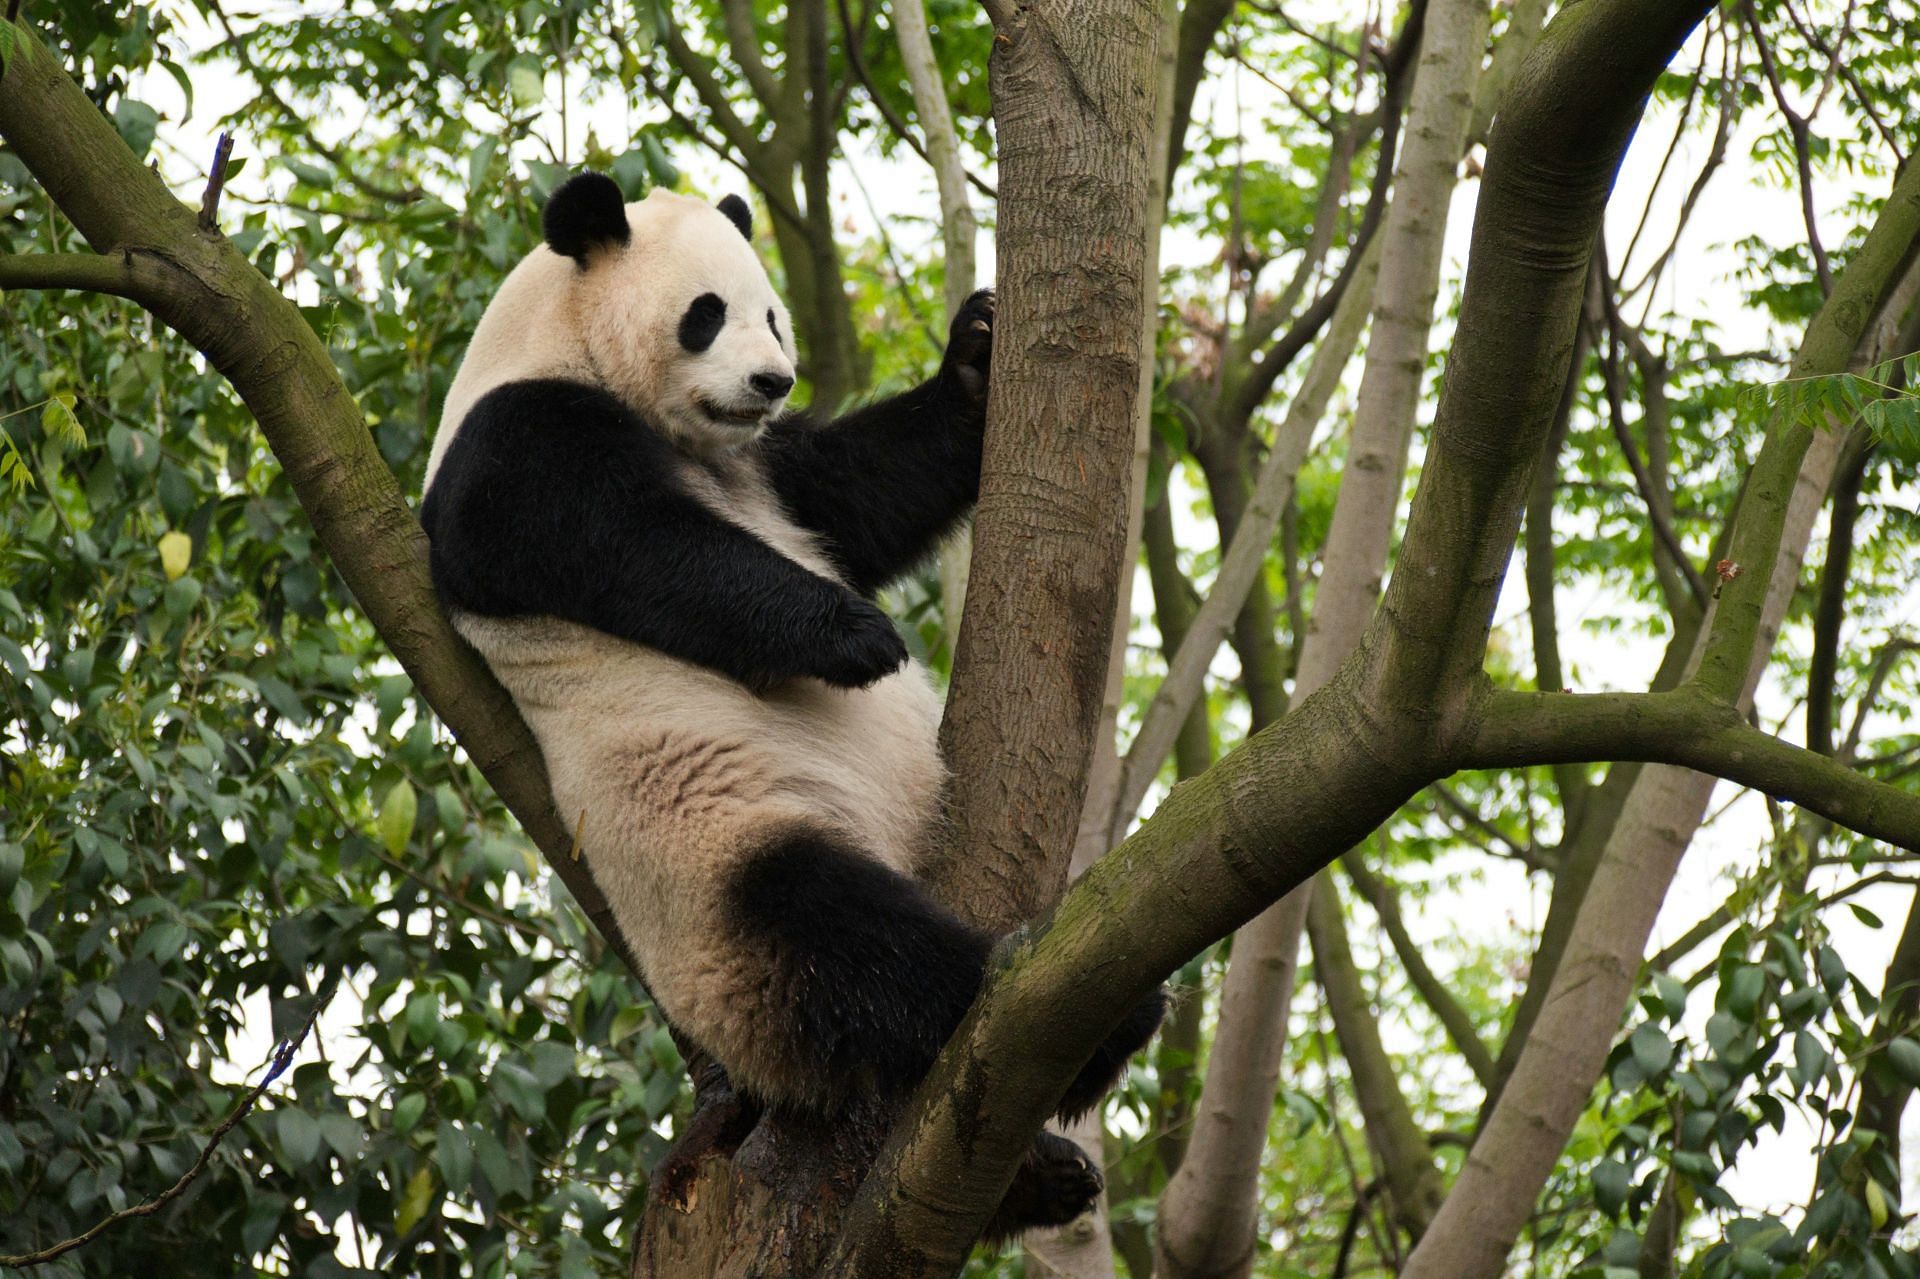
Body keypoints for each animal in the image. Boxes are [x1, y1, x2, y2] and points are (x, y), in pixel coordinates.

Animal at [422, 174, 1159, 1229]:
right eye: (706, 314)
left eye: (772, 312)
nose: (773, 382)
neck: (561, 343)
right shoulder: (515, 446)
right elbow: (638, 545)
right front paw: (857, 636)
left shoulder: (768, 470)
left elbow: (862, 489)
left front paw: (977, 354)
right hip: (710, 857)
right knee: (840, 935)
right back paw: (1093, 1024)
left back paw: (1046, 1176)